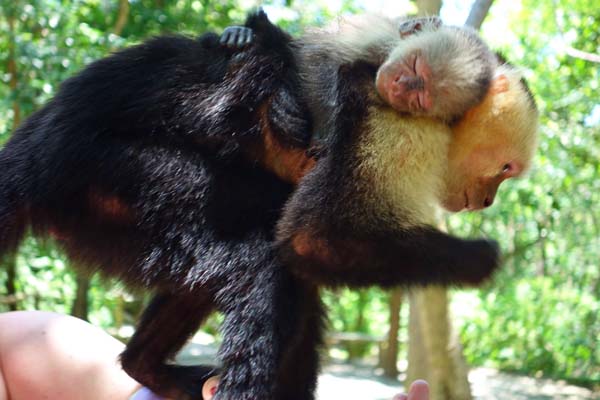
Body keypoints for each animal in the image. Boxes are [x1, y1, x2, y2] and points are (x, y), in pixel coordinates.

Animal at [0, 8, 536, 400]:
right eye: (506, 169)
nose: (487, 199)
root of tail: (37, 138)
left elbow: (308, 248)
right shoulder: (399, 127)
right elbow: (314, 239)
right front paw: (481, 260)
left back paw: (145, 366)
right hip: (103, 173)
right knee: (258, 261)